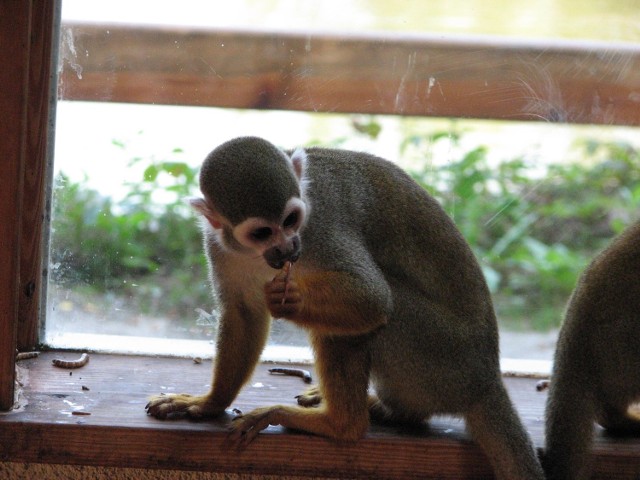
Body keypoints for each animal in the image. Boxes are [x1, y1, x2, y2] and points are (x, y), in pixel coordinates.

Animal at [146, 136, 544, 480]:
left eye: (290, 221)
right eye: (261, 233)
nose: (288, 248)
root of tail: (487, 380)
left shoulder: (321, 227)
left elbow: (373, 298)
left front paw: (294, 300)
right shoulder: (217, 244)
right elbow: (243, 313)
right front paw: (210, 402)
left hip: (443, 357)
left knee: (362, 322)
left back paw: (340, 425)